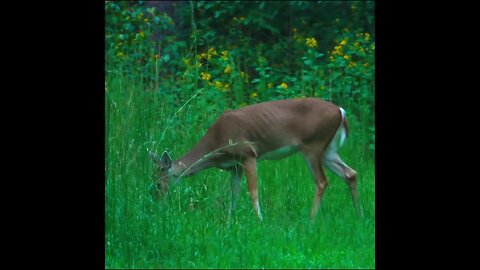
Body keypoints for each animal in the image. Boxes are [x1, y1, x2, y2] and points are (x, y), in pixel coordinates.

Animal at [149, 98, 356, 220]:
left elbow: (253, 191)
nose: (156, 202)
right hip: (328, 149)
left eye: (158, 184)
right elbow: (234, 193)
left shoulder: (248, 154)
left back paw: (310, 221)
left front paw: (259, 221)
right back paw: (359, 215)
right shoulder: (234, 166)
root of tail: (341, 111)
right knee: (350, 173)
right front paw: (229, 222)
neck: (217, 144)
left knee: (322, 181)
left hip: (313, 145)